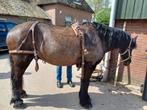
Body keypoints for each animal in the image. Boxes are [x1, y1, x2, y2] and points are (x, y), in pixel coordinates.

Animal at [6, 21, 137, 108]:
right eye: (131, 47)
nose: (128, 62)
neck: (98, 38)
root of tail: (11, 31)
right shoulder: (89, 64)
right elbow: (85, 82)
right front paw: (85, 101)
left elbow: (84, 82)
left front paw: (84, 98)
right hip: (21, 59)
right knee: (16, 77)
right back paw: (17, 101)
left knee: (18, 76)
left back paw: (21, 94)